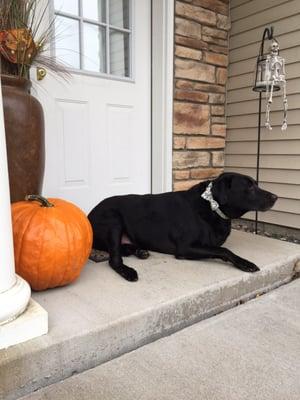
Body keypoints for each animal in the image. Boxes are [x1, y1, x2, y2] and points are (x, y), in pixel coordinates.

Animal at [88, 172, 278, 282]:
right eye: (249, 187)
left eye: (256, 183)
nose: (276, 197)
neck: (211, 205)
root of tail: (89, 214)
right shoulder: (185, 248)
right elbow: (223, 250)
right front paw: (244, 262)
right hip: (113, 220)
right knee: (114, 259)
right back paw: (128, 271)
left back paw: (140, 251)